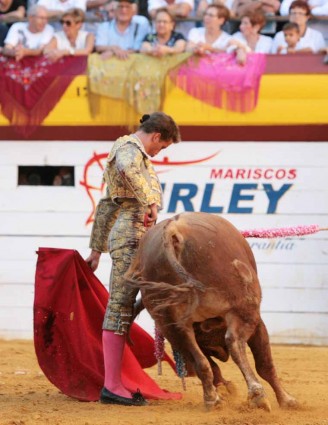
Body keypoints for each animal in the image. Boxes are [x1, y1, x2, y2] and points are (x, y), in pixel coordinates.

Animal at [127, 214, 298, 410]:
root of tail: (172, 230)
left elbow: (207, 363)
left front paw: (223, 390)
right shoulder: (257, 321)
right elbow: (265, 364)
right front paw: (287, 400)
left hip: (170, 323)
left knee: (201, 362)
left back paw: (211, 398)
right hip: (244, 308)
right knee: (235, 343)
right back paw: (257, 395)